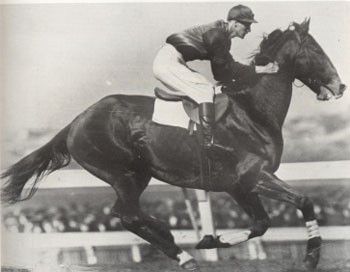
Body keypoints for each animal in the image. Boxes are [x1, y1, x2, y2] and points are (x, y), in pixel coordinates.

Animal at [1, 19, 348, 270]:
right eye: (314, 50)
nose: (339, 85)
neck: (252, 111)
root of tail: (75, 122)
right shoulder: (254, 175)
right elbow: (303, 201)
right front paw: (312, 256)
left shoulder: (239, 185)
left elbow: (261, 223)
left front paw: (212, 239)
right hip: (122, 173)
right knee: (128, 215)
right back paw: (177, 247)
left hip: (138, 174)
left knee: (126, 213)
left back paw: (176, 243)